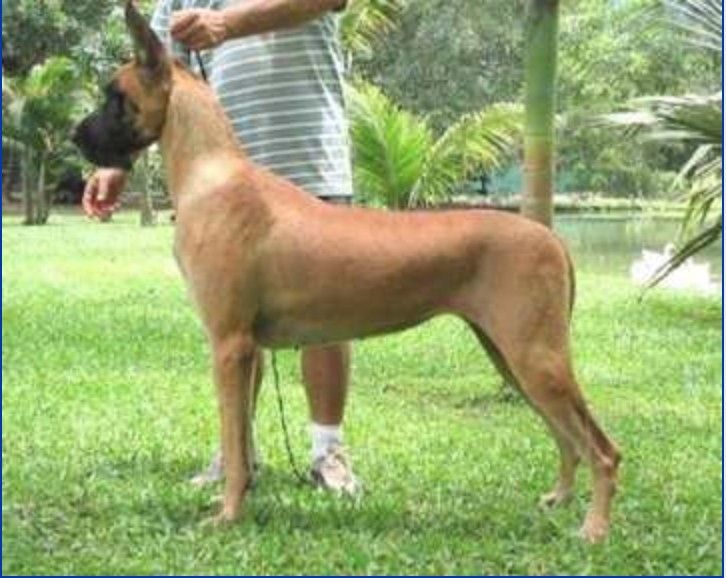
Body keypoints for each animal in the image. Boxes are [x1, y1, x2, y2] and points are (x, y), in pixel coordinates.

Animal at [73, 1, 620, 543]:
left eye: (114, 96)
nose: (75, 136)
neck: (213, 174)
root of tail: (550, 237)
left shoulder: (229, 344)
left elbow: (234, 441)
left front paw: (227, 515)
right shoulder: (246, 349)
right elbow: (240, 441)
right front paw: (236, 499)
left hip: (535, 356)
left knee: (602, 449)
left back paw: (593, 529)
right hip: (509, 354)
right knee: (567, 438)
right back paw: (559, 500)